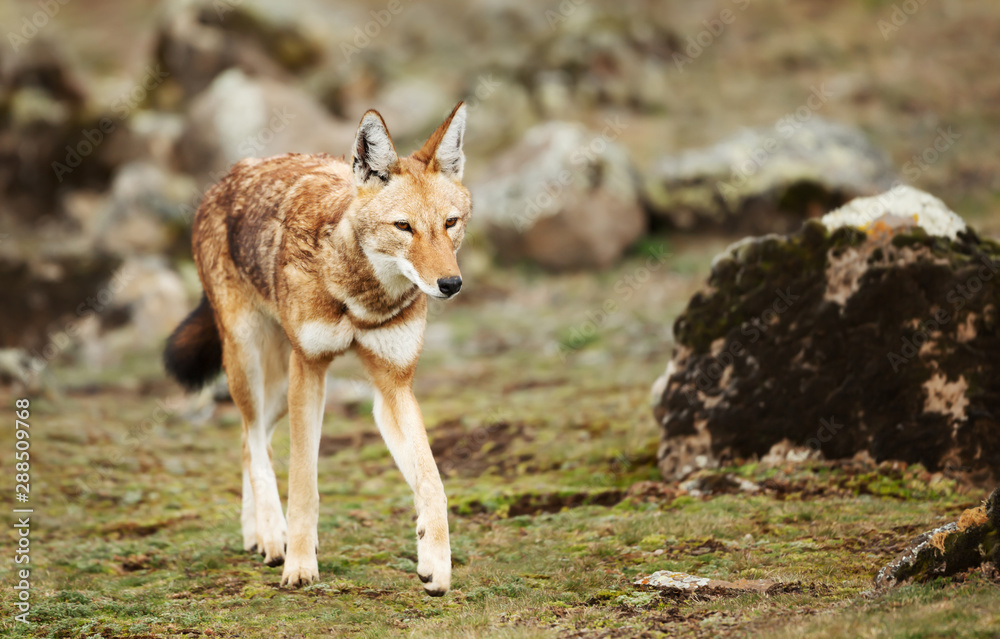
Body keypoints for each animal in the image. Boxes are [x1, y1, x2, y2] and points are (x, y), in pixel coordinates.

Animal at [163, 103, 470, 596]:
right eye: (403, 227)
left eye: (450, 223)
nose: (451, 284)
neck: (361, 296)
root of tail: (229, 175)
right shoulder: (310, 368)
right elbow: (304, 483)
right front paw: (300, 566)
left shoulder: (393, 386)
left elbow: (432, 481)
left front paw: (435, 563)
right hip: (251, 364)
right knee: (254, 440)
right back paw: (273, 536)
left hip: (276, 386)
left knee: (250, 442)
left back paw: (255, 533)